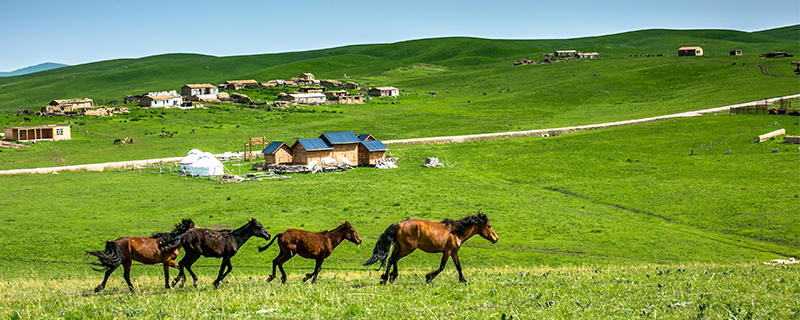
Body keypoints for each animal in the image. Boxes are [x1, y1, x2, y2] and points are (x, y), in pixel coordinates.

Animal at [364, 214, 500, 284]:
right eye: (489, 226)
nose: (496, 238)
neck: (456, 232)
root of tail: (399, 224)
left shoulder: (454, 252)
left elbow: (458, 266)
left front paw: (463, 280)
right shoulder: (447, 251)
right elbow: (442, 267)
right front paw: (428, 278)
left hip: (399, 247)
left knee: (392, 259)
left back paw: (389, 277)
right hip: (408, 248)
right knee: (393, 259)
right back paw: (387, 279)